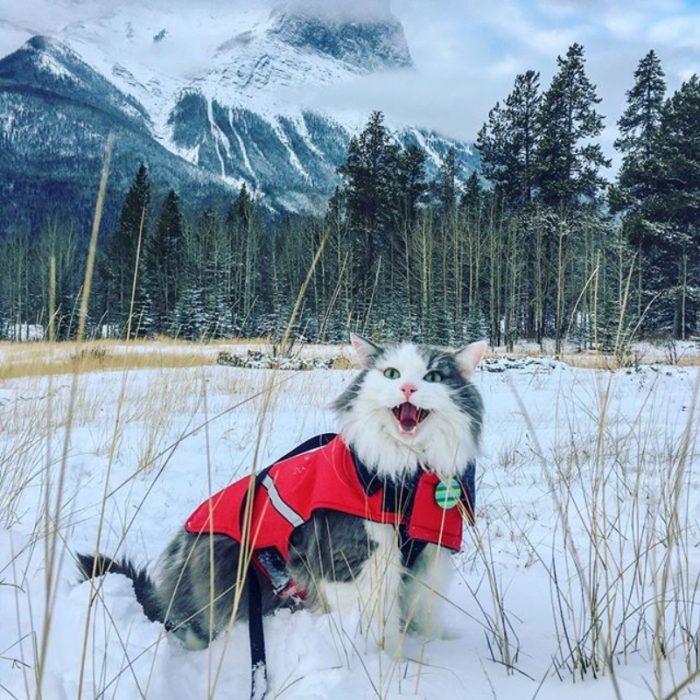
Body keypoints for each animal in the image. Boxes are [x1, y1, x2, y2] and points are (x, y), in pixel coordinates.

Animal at [76, 336, 482, 660]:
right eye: (392, 374)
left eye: (434, 377)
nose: (409, 389)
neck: (405, 478)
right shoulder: (351, 558)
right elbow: (372, 622)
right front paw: (385, 663)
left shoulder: (430, 558)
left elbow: (423, 614)